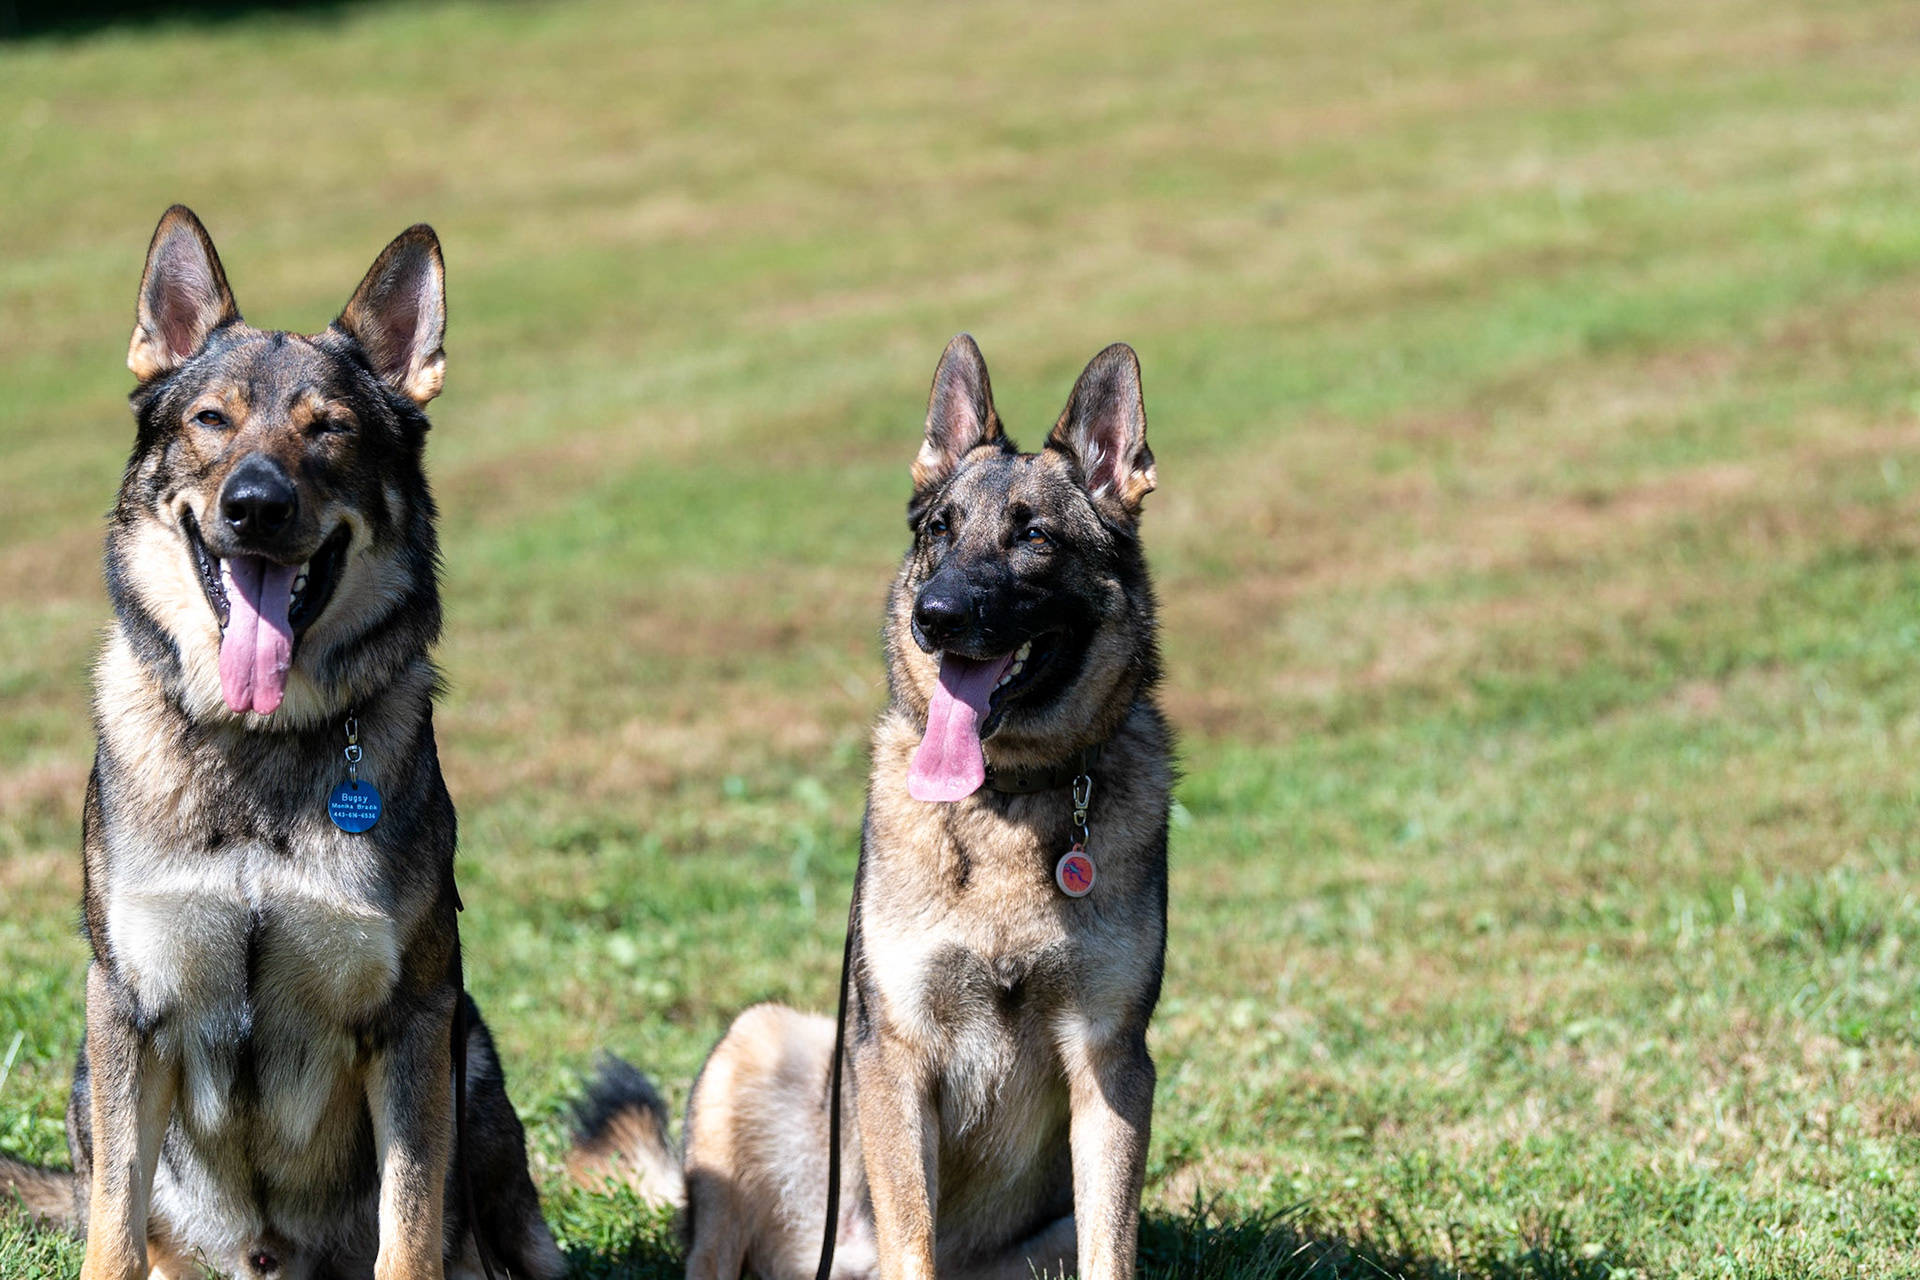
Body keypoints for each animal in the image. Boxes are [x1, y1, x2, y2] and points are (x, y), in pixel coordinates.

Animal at [0, 207, 563, 1280]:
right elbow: (111, 1226)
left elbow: (412, 1231)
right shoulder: (126, 1010)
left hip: (472, 1060)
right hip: (91, 1076)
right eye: (210, 422)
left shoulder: (414, 1017)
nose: (255, 506)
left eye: (329, 428)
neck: (258, 744)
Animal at [570, 334, 1173, 1280]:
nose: (937, 615)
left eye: (1034, 536)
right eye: (939, 531)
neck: (1005, 799)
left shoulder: (1111, 1066)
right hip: (763, 1044)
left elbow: (1113, 1249)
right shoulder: (895, 1059)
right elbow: (912, 1235)